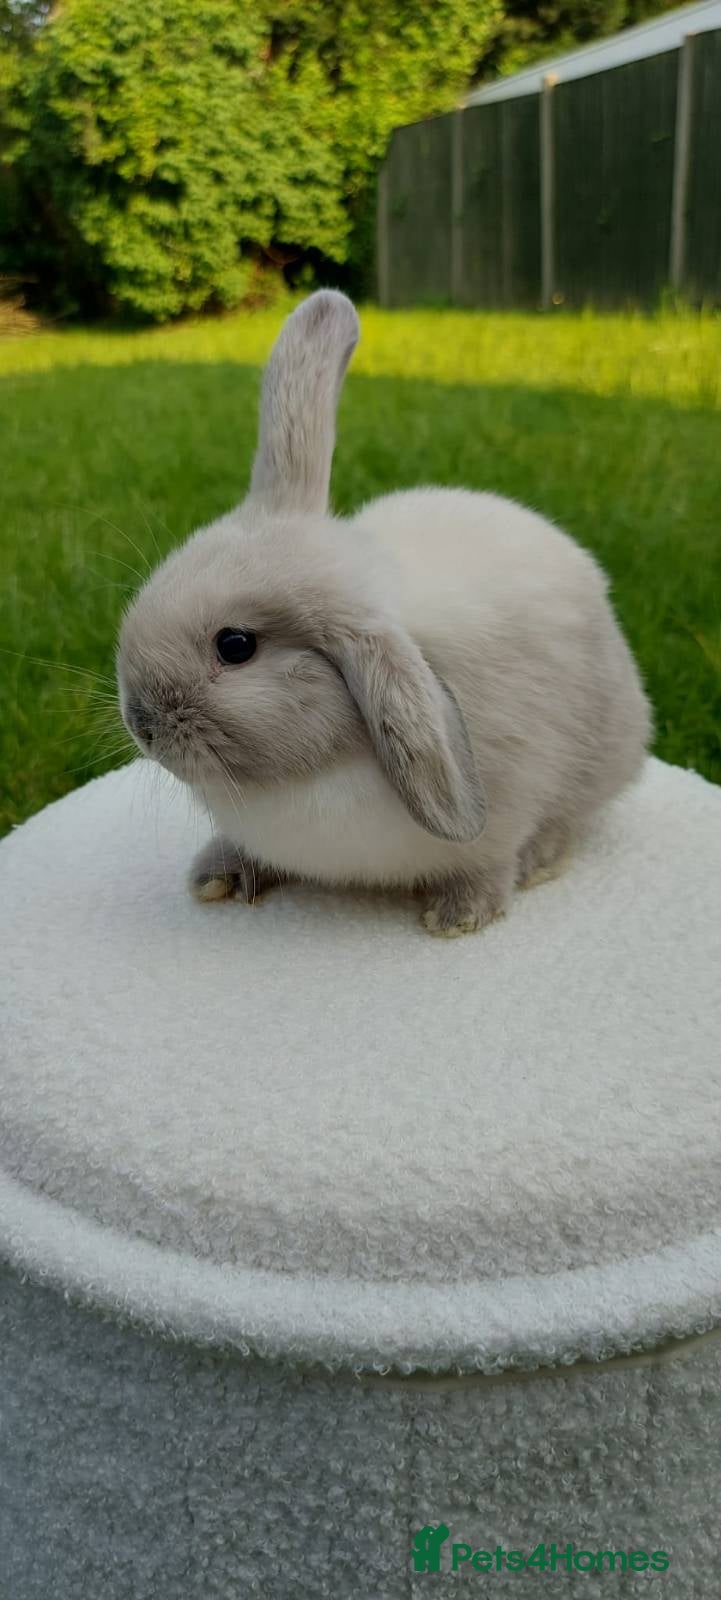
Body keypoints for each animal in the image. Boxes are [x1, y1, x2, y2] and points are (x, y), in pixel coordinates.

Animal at [116, 289, 652, 937]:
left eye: (236, 646)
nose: (140, 724)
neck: (312, 773)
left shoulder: (511, 795)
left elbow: (490, 858)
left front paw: (461, 915)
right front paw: (218, 874)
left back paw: (541, 859)